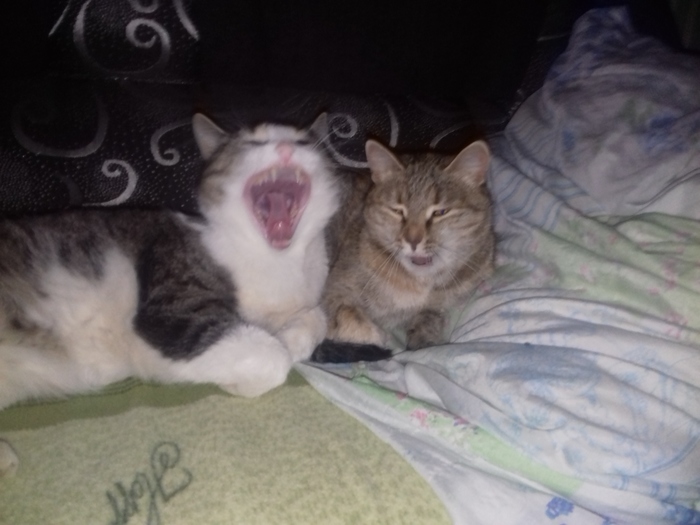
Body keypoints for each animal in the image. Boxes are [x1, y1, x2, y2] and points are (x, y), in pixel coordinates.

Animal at [312, 137, 492, 362]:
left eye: (441, 212)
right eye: (397, 211)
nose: (412, 240)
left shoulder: (440, 303)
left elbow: (430, 317)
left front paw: (426, 340)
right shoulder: (332, 292)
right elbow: (347, 315)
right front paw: (374, 335)